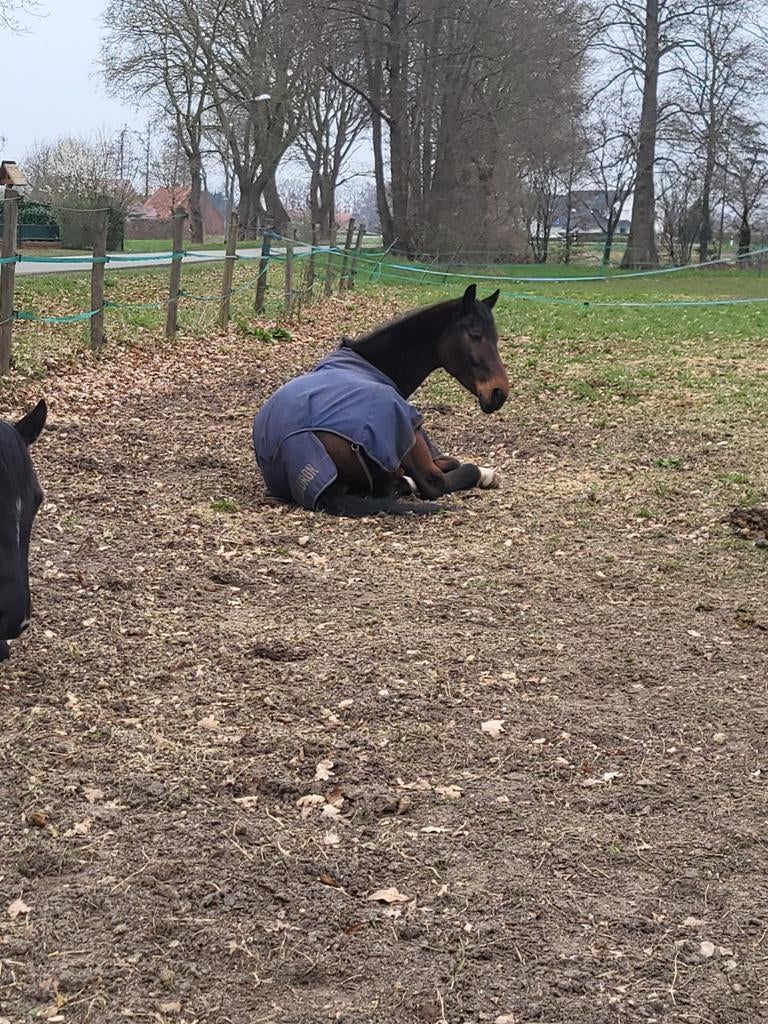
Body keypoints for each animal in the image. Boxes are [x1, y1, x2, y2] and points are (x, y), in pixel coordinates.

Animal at [253, 284, 508, 516]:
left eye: (495, 338)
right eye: (475, 335)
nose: (499, 392)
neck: (372, 364)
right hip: (408, 429)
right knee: (433, 482)